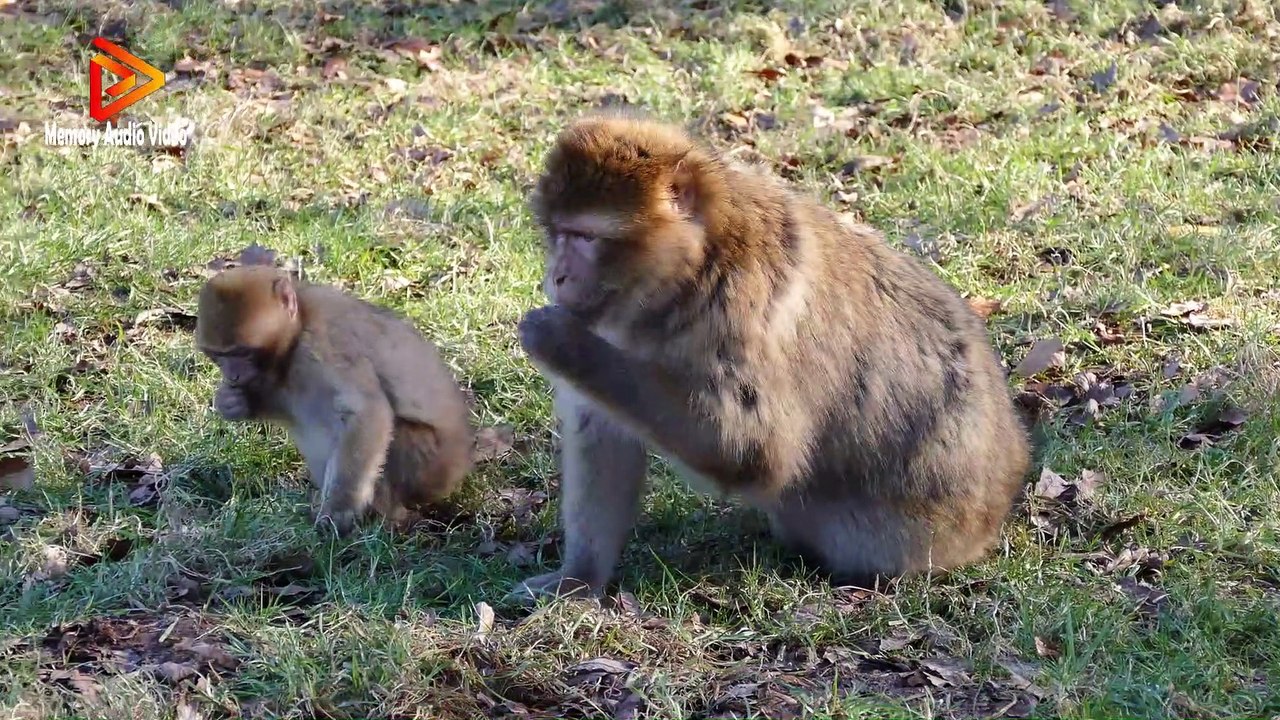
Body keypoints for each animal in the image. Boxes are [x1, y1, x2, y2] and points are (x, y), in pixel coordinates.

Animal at [195, 265, 475, 535]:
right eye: (217, 355)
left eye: (243, 352)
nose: (231, 375)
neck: (300, 325)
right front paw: (235, 402)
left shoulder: (323, 347)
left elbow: (367, 412)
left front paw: (338, 511)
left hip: (428, 465)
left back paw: (389, 520)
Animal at [509, 112, 1031, 601]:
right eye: (556, 233)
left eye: (585, 237)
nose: (557, 275)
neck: (685, 278)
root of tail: (1000, 502)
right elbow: (604, 434)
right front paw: (578, 579)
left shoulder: (740, 309)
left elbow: (752, 450)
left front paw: (559, 339)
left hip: (909, 534)